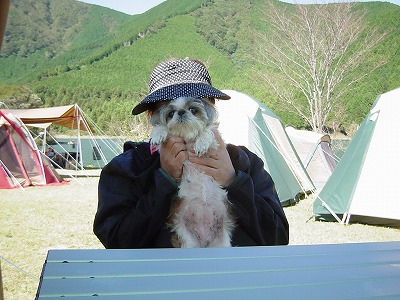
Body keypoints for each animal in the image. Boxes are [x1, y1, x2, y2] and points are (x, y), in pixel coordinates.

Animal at [152, 97, 236, 247]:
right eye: (171, 113)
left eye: (193, 110)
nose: (180, 112)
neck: (188, 138)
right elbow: (164, 129)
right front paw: (158, 133)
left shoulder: (215, 138)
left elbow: (207, 131)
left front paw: (201, 143)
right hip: (188, 240)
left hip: (222, 242)